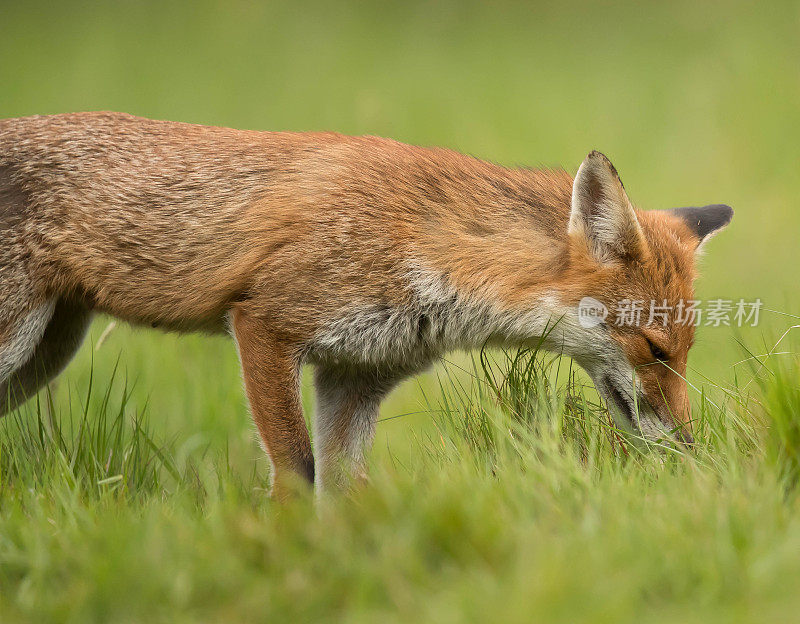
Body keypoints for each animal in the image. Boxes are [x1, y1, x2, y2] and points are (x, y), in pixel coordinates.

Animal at [0, 112, 732, 498]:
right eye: (655, 349)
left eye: (687, 353)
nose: (690, 450)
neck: (426, 250)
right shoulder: (263, 325)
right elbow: (297, 475)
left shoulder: (355, 376)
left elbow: (343, 494)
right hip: (18, 345)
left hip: (43, 355)